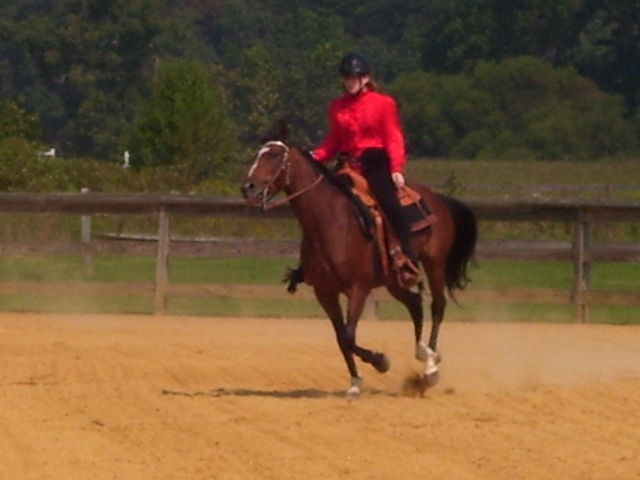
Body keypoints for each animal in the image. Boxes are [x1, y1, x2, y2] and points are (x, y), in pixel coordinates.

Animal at [240, 125, 476, 396]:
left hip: (434, 263)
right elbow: (342, 338)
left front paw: (381, 361)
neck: (332, 221)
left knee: (437, 305)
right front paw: (355, 382)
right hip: (394, 279)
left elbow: (349, 335)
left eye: (275, 155)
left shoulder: (358, 288)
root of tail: (437, 198)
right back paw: (422, 354)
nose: (248, 187)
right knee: (415, 304)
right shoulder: (325, 292)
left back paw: (430, 367)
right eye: (259, 153)